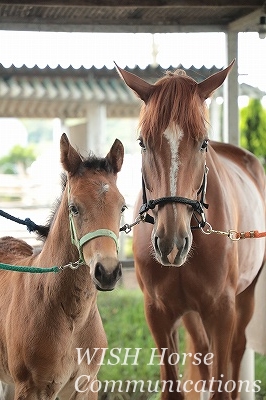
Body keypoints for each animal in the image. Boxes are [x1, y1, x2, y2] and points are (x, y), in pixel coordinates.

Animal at [117, 63, 266, 400]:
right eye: (142, 142)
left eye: (203, 143)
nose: (171, 244)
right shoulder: (158, 315)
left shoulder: (222, 312)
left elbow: (223, 385)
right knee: (201, 352)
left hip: (246, 297)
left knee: (236, 351)